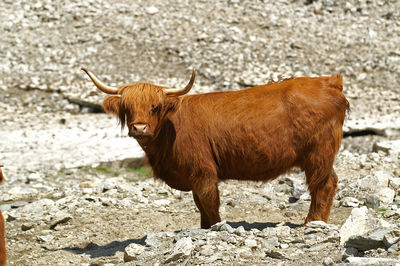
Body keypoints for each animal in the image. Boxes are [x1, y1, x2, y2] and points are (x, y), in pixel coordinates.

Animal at [82, 68, 350, 229]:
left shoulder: (203, 171)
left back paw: (312, 223)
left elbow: (209, 202)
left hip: (318, 155)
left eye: (155, 107)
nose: (139, 128)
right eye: (127, 108)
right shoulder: (192, 175)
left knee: (323, 185)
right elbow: (200, 204)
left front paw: (214, 228)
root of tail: (328, 82)